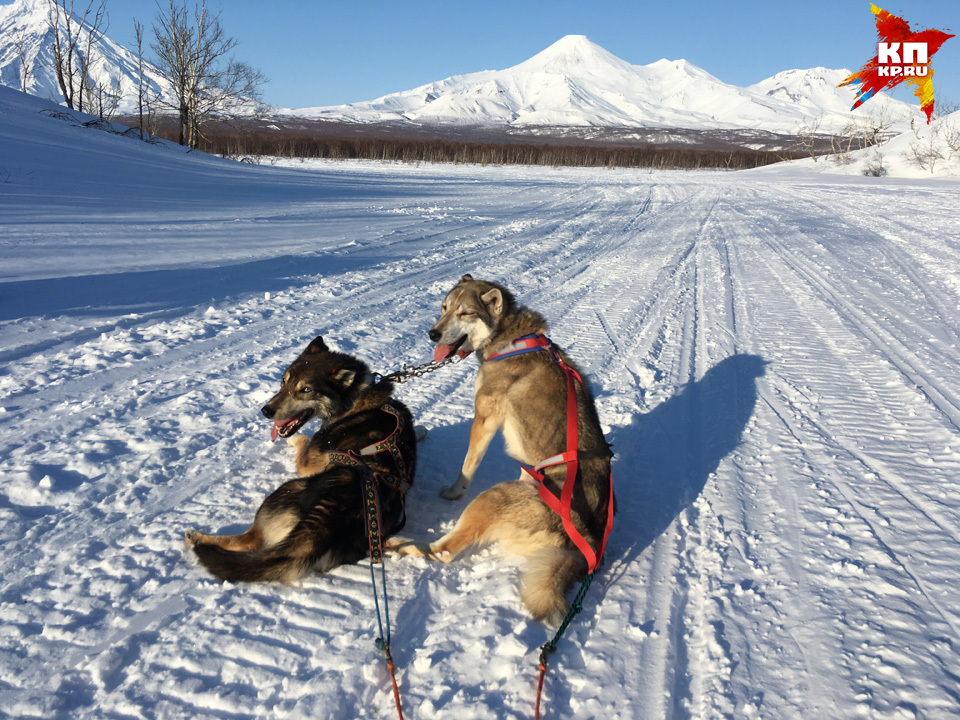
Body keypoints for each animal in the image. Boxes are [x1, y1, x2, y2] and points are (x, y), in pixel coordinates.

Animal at [184, 338, 416, 584]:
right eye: (283, 381)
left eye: (305, 390)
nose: (265, 411)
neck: (354, 400)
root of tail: (327, 516)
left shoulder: (308, 461)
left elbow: (303, 440)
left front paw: (292, 439)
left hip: (281, 493)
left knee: (249, 540)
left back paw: (197, 538)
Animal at [390, 276, 616, 624]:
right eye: (444, 308)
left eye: (465, 312)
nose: (433, 334)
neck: (507, 337)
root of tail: (585, 543)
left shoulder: (484, 418)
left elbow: (468, 465)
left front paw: (453, 491)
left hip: (491, 498)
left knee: (442, 552)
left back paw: (397, 545)